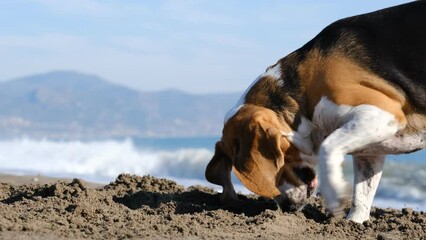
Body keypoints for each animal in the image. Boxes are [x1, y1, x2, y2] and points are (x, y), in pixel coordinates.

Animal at [205, 0, 424, 223]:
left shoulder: (383, 113)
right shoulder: (369, 152)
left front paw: (335, 195)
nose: (288, 208)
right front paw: (353, 223)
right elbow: (362, 194)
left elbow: (329, 147)